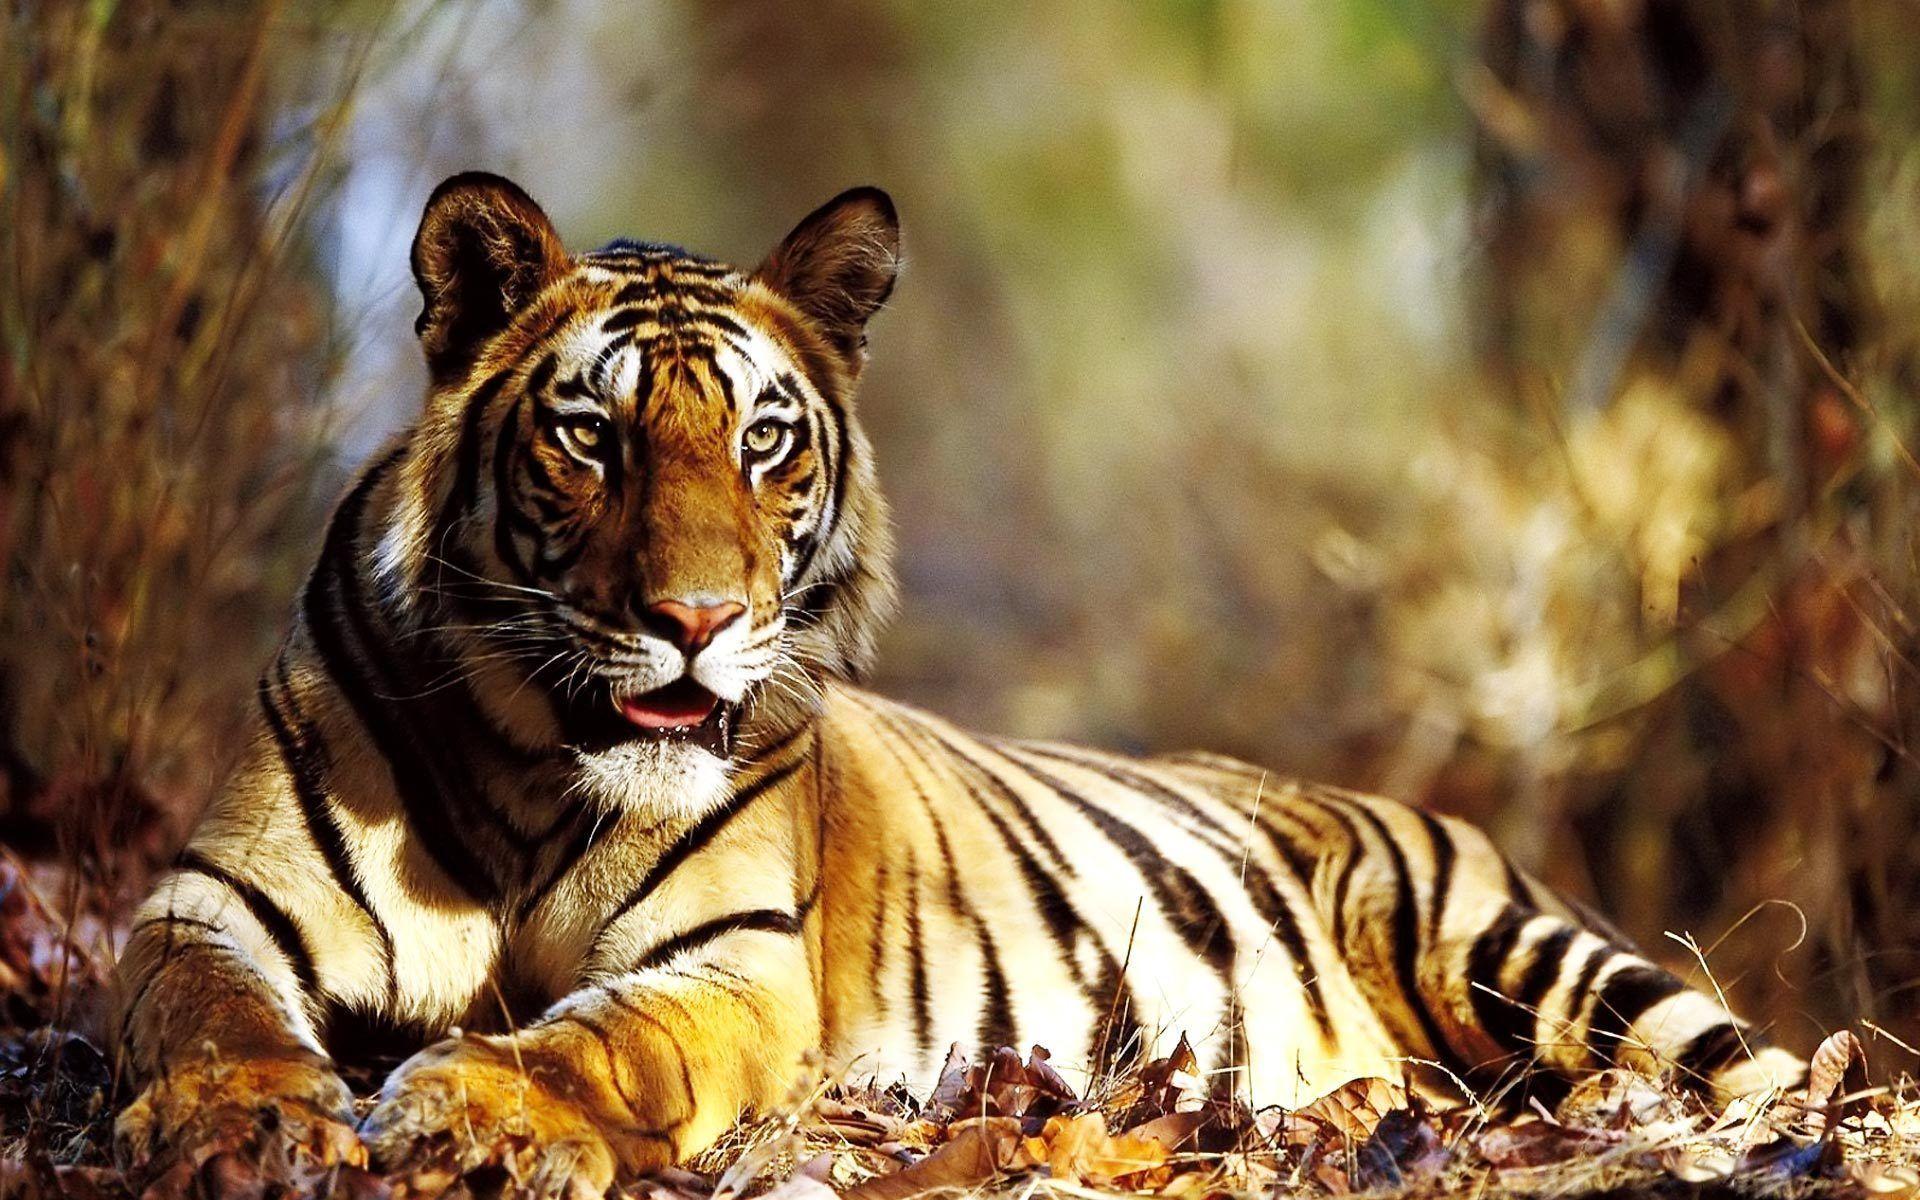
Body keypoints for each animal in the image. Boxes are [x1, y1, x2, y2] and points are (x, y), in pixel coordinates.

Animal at [114, 173, 1807, 1194]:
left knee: (1763, 1070)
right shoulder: (208, 903)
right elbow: (206, 1012)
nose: (697, 619)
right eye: (591, 435)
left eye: (764, 439)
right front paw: (241, 1117)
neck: (537, 763)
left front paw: (464, 1105)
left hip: (1532, 960)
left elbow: (595, 1038)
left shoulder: (729, 968)